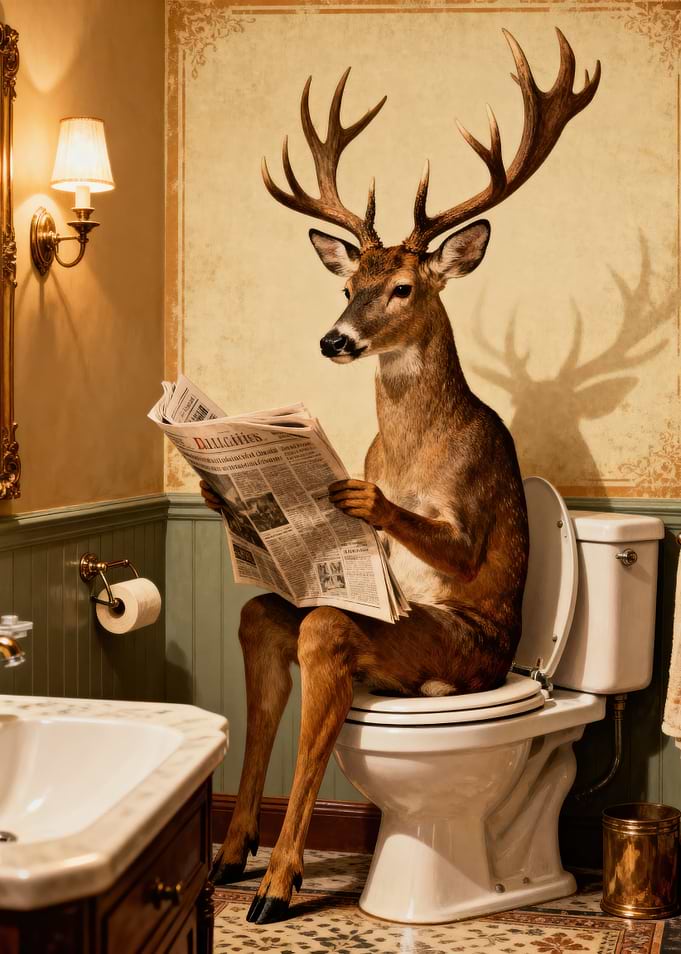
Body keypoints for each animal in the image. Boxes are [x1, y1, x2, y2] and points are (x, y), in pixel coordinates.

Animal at [201, 28, 601, 924]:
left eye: (403, 287)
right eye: (349, 283)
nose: (333, 339)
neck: (413, 447)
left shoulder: (471, 500)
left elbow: (447, 540)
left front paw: (359, 496)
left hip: (426, 649)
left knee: (320, 633)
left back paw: (275, 884)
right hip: (326, 625)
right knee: (262, 618)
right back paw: (231, 856)